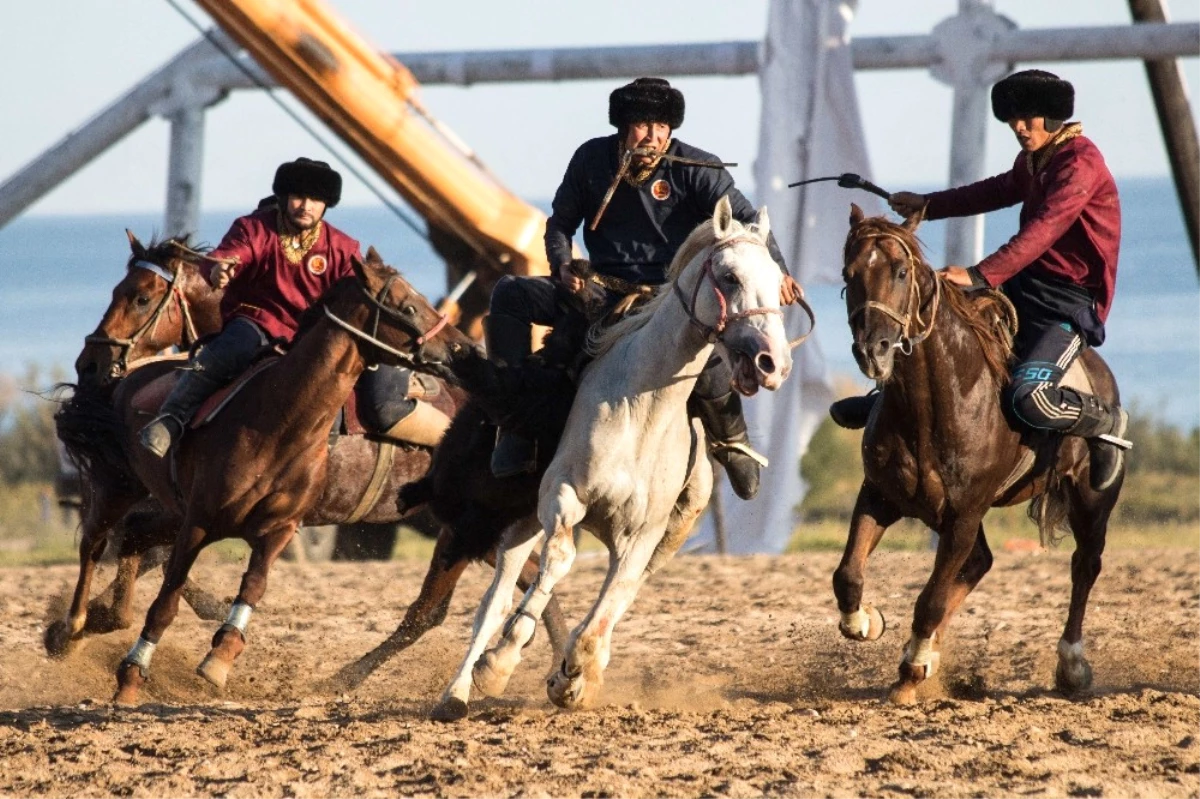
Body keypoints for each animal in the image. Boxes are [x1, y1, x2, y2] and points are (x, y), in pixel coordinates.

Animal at [434, 195, 796, 719]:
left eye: (777, 282)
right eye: (729, 277)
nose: (773, 362)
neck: (641, 408)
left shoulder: (642, 537)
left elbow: (611, 602)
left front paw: (574, 675)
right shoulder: (562, 496)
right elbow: (557, 564)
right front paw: (506, 660)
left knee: (614, 592)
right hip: (524, 518)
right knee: (496, 600)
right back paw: (464, 686)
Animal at [830, 206, 1118, 705]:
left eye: (901, 272)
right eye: (849, 275)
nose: (873, 350)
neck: (937, 403)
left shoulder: (963, 516)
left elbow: (930, 599)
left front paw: (911, 671)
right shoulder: (880, 497)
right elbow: (848, 574)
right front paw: (869, 623)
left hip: (1091, 502)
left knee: (1085, 565)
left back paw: (1072, 665)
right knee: (980, 564)